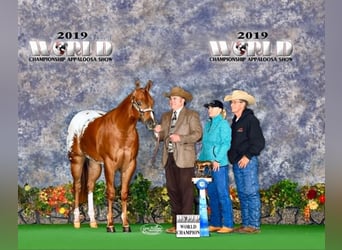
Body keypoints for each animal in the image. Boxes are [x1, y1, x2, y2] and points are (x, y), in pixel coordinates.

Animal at [66, 80, 156, 232]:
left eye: (152, 102)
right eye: (138, 102)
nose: (151, 123)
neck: (121, 131)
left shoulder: (129, 165)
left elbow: (124, 193)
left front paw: (126, 225)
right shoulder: (110, 165)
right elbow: (111, 192)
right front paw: (110, 225)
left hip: (95, 165)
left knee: (90, 186)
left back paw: (93, 222)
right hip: (77, 160)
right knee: (77, 187)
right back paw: (77, 221)